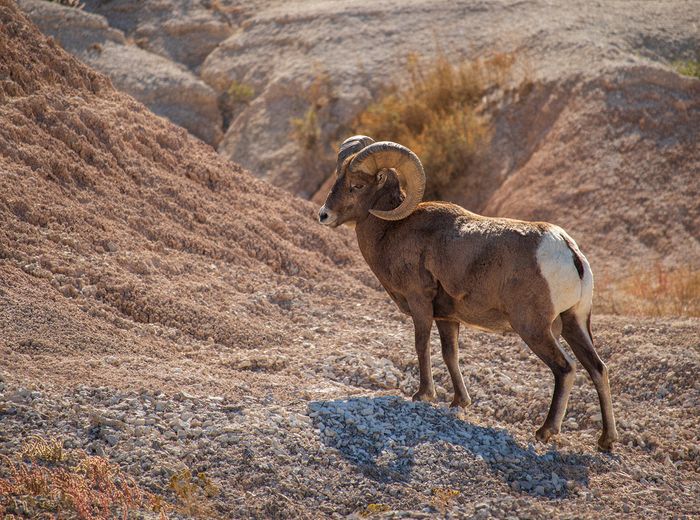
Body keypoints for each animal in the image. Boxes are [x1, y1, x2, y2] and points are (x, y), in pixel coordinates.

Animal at [318, 135, 616, 450]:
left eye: (357, 185)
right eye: (338, 178)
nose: (324, 215)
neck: (394, 230)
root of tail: (568, 250)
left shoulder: (419, 303)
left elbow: (421, 345)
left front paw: (423, 395)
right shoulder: (448, 318)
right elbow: (451, 354)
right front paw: (459, 402)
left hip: (534, 328)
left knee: (566, 369)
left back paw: (545, 431)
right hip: (575, 323)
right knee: (598, 369)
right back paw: (606, 440)